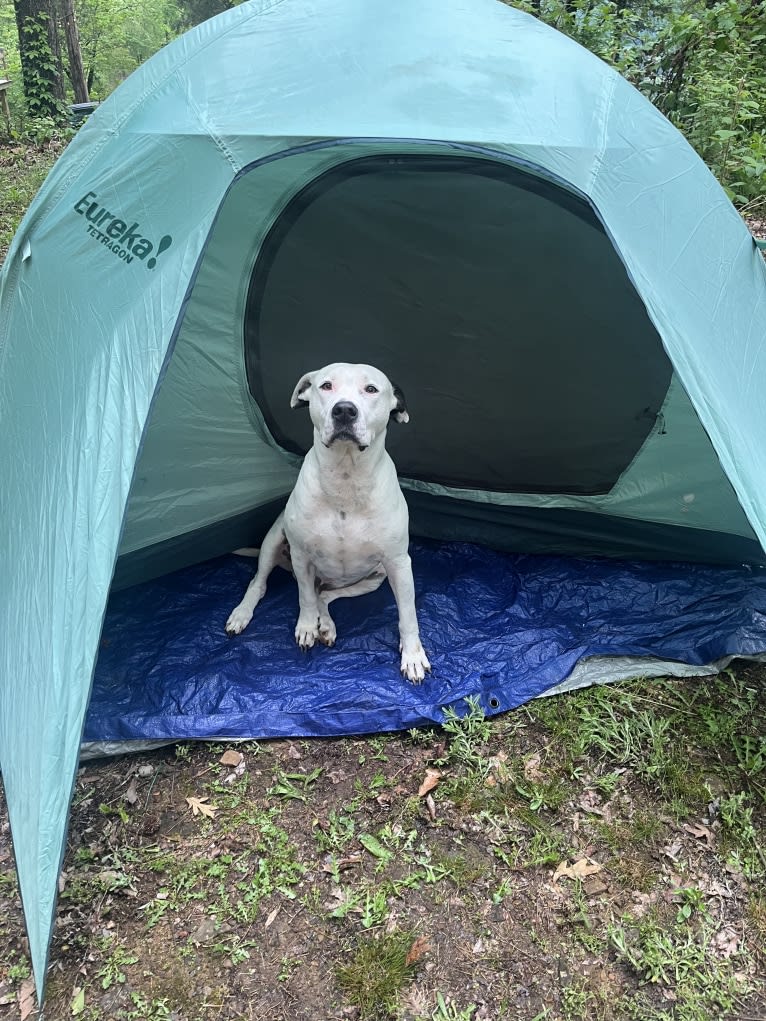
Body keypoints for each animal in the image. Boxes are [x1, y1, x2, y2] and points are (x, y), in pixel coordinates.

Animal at [226, 363, 433, 682]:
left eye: (371, 389)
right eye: (325, 385)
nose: (344, 410)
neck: (346, 478)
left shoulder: (399, 564)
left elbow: (408, 614)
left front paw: (412, 655)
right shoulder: (301, 554)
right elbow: (303, 597)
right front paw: (306, 626)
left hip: (373, 579)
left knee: (324, 594)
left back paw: (326, 623)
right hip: (274, 540)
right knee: (263, 584)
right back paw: (243, 614)